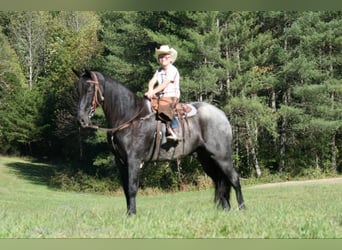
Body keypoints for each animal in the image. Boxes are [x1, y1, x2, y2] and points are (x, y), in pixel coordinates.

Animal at [75, 70, 246, 215]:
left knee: (233, 178)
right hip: (206, 159)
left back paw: (242, 208)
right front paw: (128, 213)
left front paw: (132, 214)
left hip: (221, 156)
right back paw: (225, 209)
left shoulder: (134, 160)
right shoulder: (121, 162)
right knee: (219, 180)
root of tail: (221, 115)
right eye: (78, 91)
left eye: (90, 90)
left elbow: (132, 187)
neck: (128, 117)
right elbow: (125, 189)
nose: (81, 120)